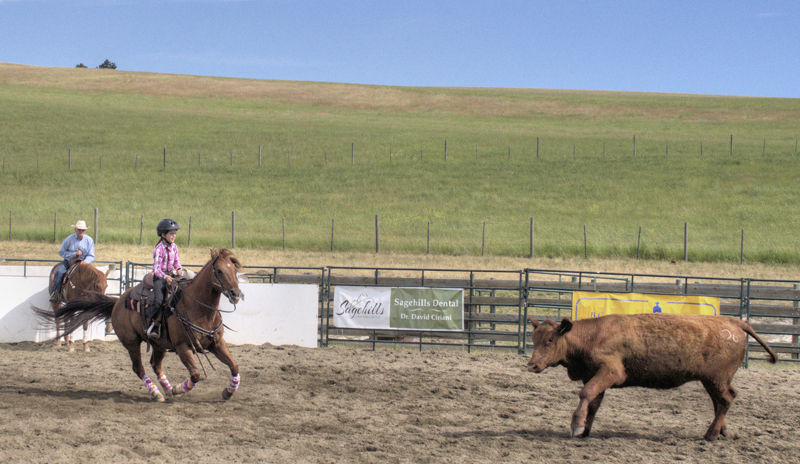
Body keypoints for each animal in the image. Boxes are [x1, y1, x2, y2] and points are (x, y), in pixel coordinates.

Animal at [526, 313, 778, 441]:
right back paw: (722, 431)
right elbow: (594, 402)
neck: (593, 336)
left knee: (725, 400)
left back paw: (711, 434)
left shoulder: (610, 371)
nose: (532, 365)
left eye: (550, 340)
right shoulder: (593, 375)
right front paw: (586, 430)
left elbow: (585, 394)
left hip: (716, 379)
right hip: (713, 380)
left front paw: (576, 425)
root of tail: (734, 322)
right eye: (534, 339)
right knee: (722, 400)